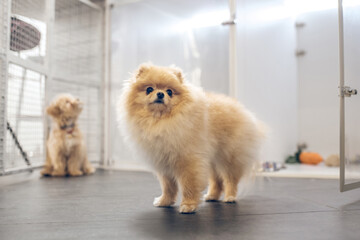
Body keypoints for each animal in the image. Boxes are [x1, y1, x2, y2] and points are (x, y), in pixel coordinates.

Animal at [117, 62, 264, 213]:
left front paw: (188, 205)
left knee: (230, 179)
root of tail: (244, 112)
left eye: (169, 91)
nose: (160, 93)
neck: (160, 121)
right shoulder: (164, 163)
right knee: (217, 180)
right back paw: (212, 196)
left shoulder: (188, 160)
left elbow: (189, 184)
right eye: (149, 89)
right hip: (212, 160)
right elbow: (168, 186)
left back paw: (230, 197)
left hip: (229, 158)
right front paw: (165, 201)